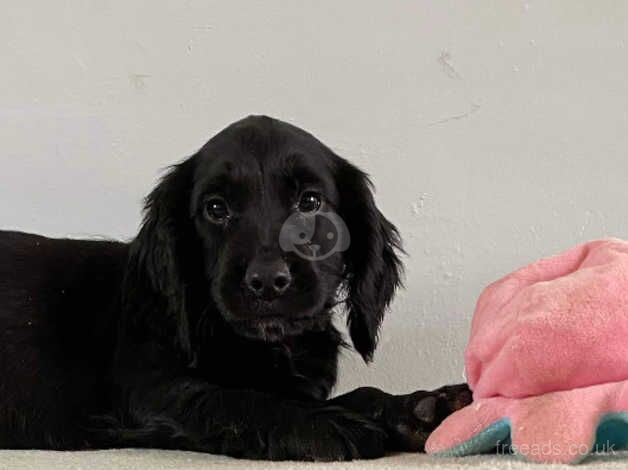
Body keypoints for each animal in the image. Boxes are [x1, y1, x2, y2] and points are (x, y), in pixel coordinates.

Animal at [0, 115, 468, 460]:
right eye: (215, 208)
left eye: (310, 201)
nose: (267, 281)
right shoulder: (152, 392)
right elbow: (230, 400)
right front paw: (327, 423)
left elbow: (356, 393)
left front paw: (423, 409)